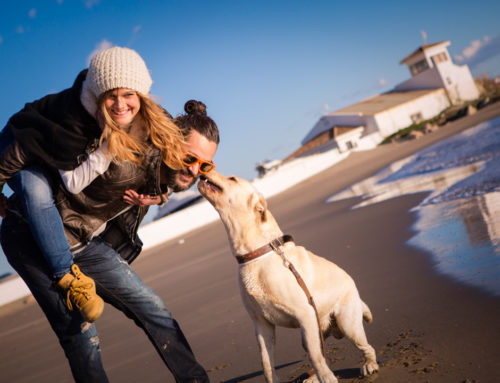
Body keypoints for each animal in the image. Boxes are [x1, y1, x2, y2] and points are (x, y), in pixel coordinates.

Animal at [197, 172, 376, 383]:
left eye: (232, 178)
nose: (204, 169)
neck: (258, 253)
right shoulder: (261, 324)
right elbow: (266, 363)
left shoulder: (305, 314)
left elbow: (314, 356)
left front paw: (327, 378)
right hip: (313, 333)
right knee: (323, 354)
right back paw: (313, 378)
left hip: (346, 324)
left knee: (364, 347)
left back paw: (369, 364)